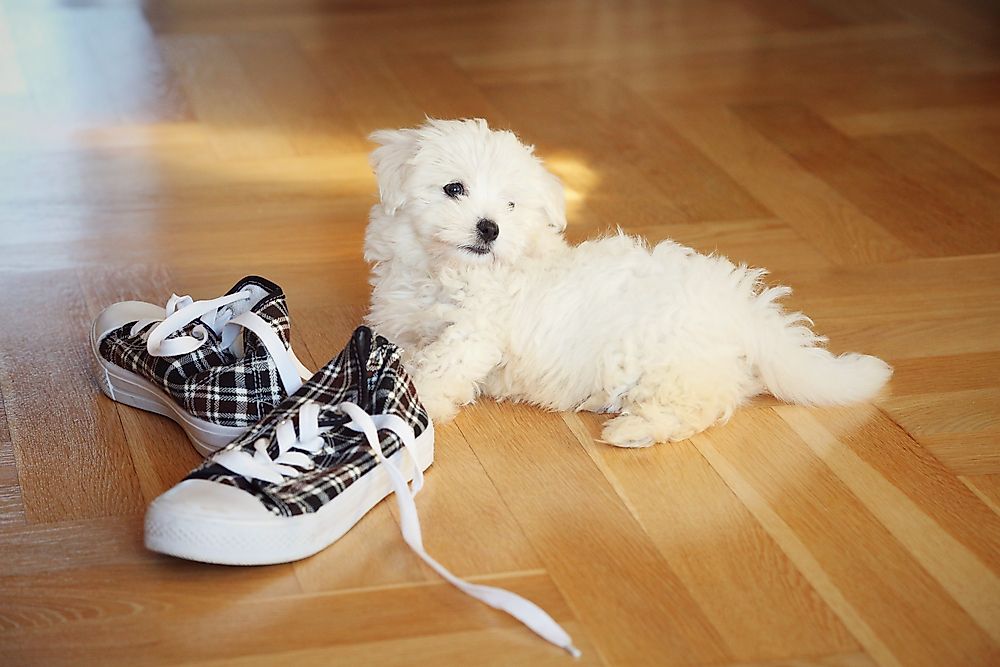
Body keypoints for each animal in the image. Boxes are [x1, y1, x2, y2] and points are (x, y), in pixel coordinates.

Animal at [362, 118, 892, 448]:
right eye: (453, 188)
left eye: (511, 206)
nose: (490, 228)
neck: (447, 272)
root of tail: (744, 311)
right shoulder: (401, 318)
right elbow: (402, 346)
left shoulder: (475, 333)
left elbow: (440, 367)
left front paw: (414, 403)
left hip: (666, 362)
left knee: (700, 404)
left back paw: (632, 431)